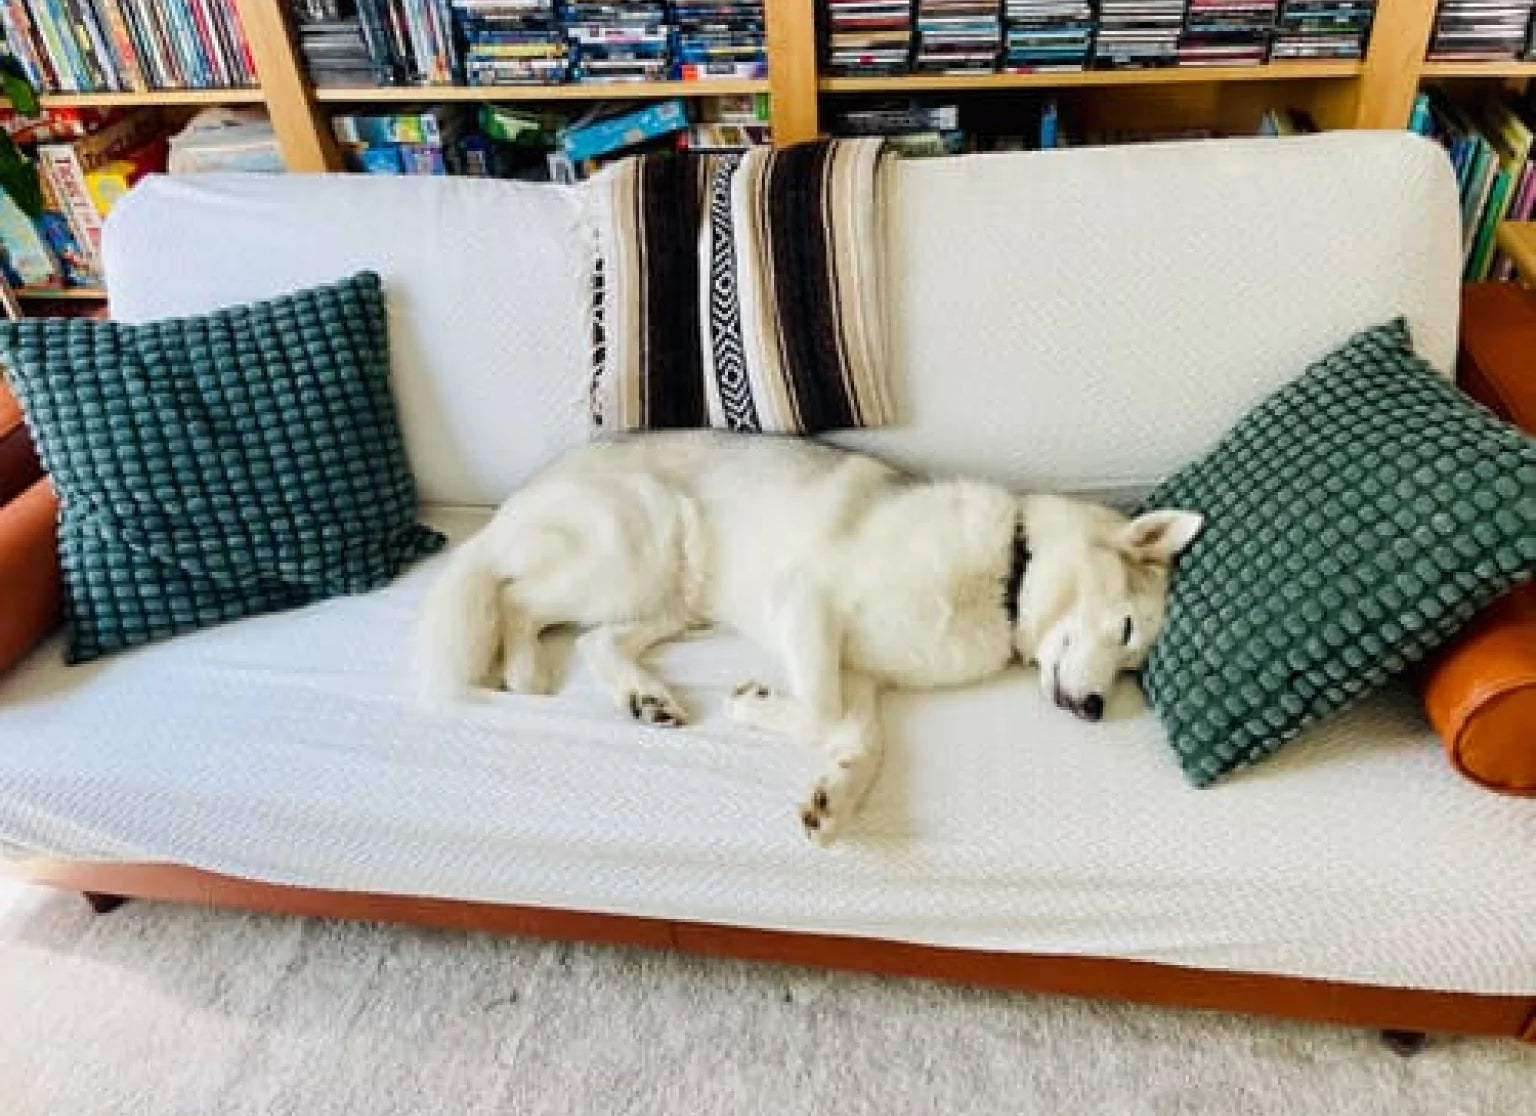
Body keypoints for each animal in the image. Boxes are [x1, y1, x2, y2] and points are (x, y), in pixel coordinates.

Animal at [417, 432, 1198, 841]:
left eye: (1133, 664)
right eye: (1128, 629)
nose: (1095, 710)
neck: (1008, 570)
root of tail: (527, 486)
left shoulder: (865, 677)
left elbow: (864, 743)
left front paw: (836, 797)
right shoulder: (806, 601)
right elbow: (819, 709)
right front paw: (751, 703)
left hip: (674, 598)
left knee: (593, 640)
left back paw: (645, 696)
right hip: (637, 547)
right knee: (514, 595)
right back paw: (523, 666)